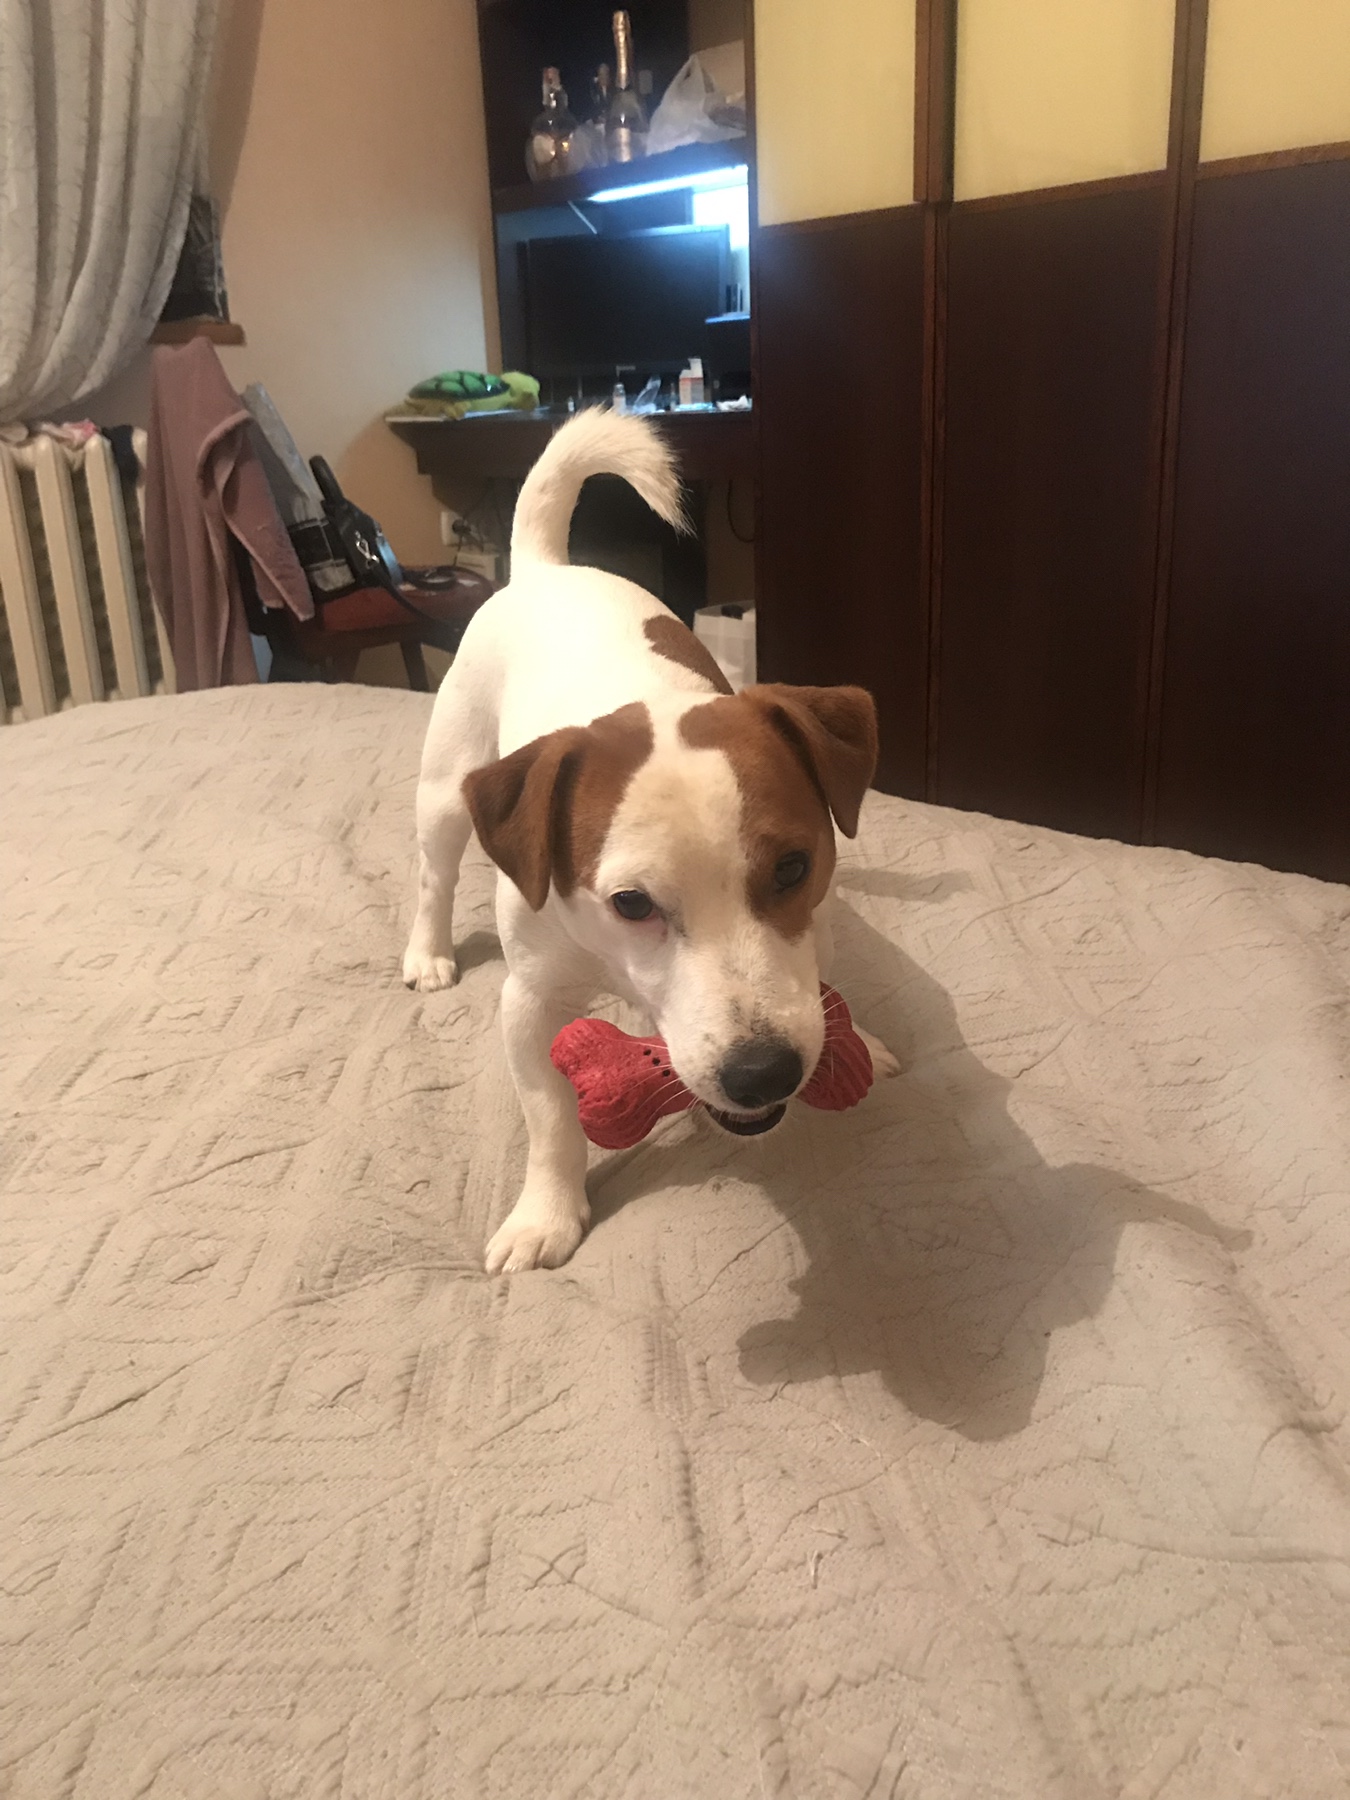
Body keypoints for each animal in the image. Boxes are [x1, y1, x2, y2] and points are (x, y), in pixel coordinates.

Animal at [404, 407, 898, 1272]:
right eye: (630, 903)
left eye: (793, 867)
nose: (763, 1073)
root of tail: (544, 570)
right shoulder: (528, 1006)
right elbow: (550, 1117)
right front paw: (546, 1213)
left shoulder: (814, 941)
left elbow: (821, 991)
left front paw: (858, 1034)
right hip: (446, 787)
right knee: (434, 872)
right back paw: (427, 953)